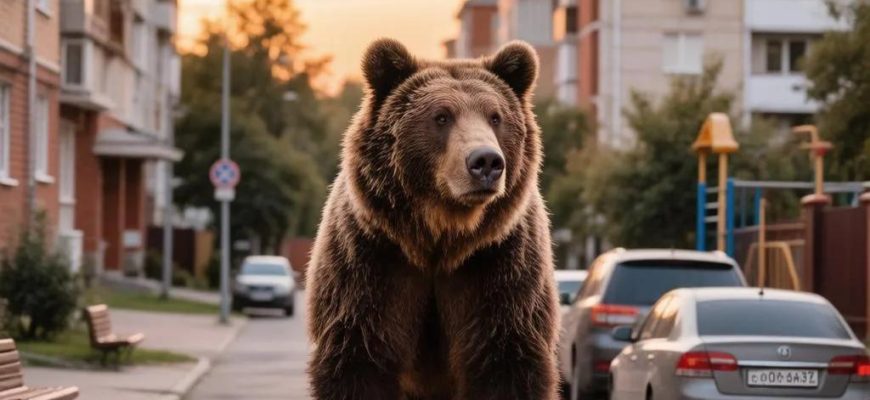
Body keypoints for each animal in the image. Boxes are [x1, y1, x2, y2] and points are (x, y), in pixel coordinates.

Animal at [306, 38, 559, 400]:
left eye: (495, 116)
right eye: (441, 116)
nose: (486, 161)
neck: (441, 235)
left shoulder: (501, 267)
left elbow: (505, 360)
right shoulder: (371, 263)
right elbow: (360, 358)